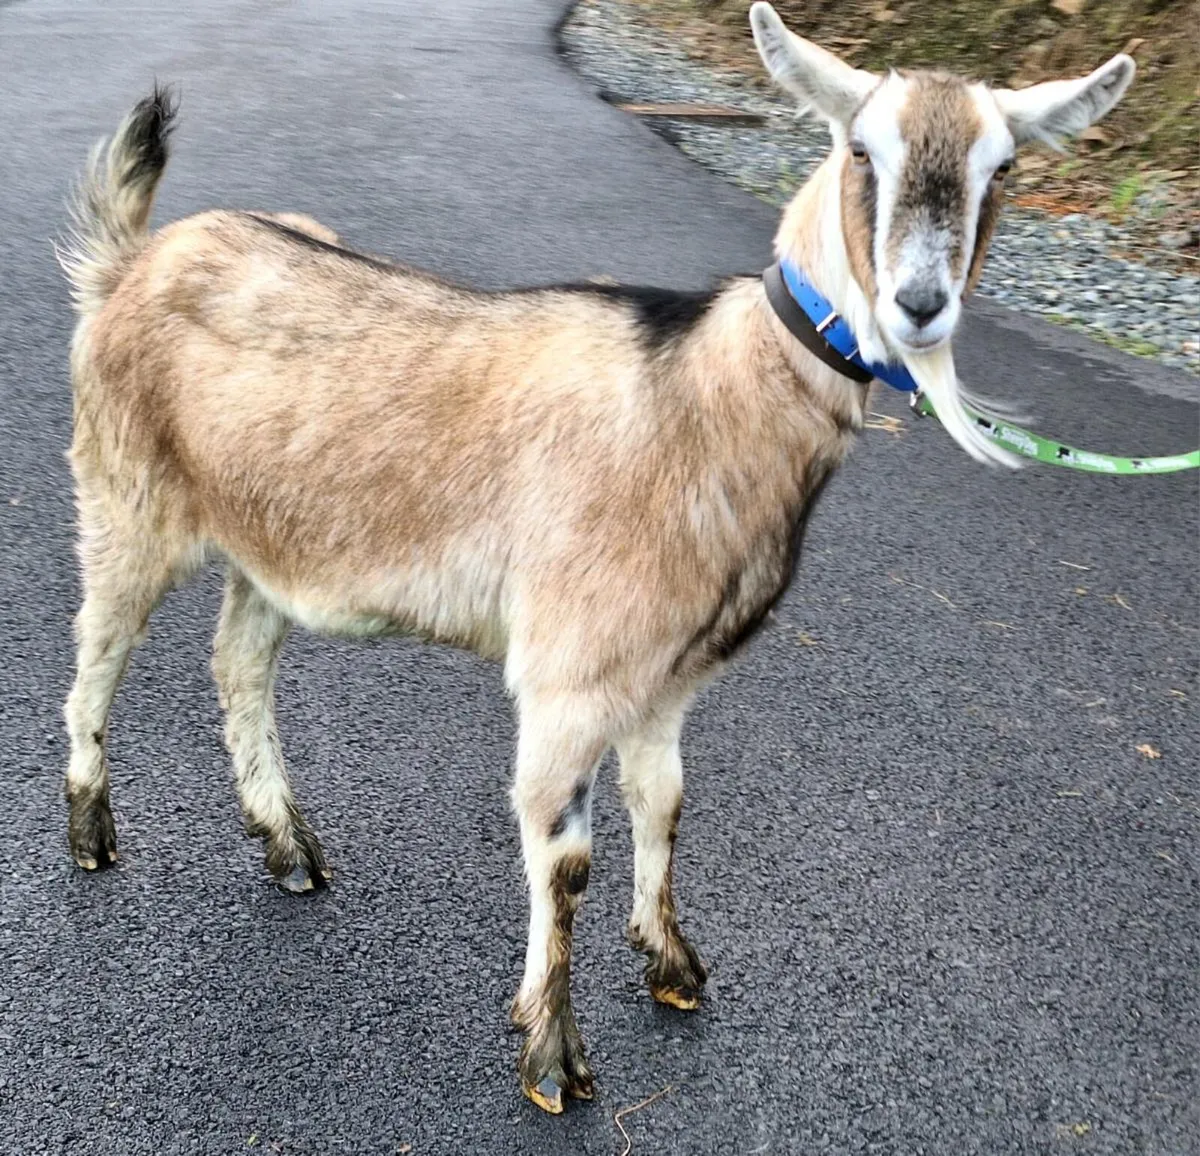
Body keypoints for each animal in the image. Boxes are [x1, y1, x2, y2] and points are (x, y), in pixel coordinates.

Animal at [57, 2, 1133, 1112]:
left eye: (1002, 167)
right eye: (858, 148)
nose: (920, 303)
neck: (700, 401)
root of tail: (128, 263)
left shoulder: (668, 673)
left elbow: (664, 803)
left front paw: (672, 964)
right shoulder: (570, 671)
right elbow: (563, 855)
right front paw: (553, 1056)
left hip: (272, 536)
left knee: (238, 660)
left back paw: (286, 843)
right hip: (123, 489)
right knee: (99, 643)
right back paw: (92, 830)